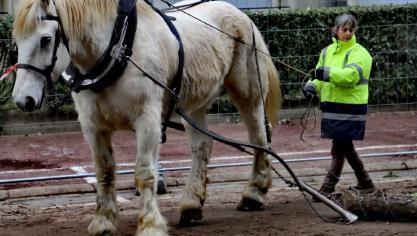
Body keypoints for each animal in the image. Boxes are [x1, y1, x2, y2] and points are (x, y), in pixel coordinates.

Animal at [11, 0, 282, 235]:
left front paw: (150, 225)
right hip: (193, 104)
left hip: (247, 92)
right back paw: (191, 206)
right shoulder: (93, 127)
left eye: (46, 39)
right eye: (17, 41)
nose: (23, 100)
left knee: (259, 138)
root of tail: (241, 15)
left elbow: (145, 174)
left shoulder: (148, 121)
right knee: (202, 145)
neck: (117, 49)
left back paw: (253, 193)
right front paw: (103, 222)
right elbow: (104, 172)